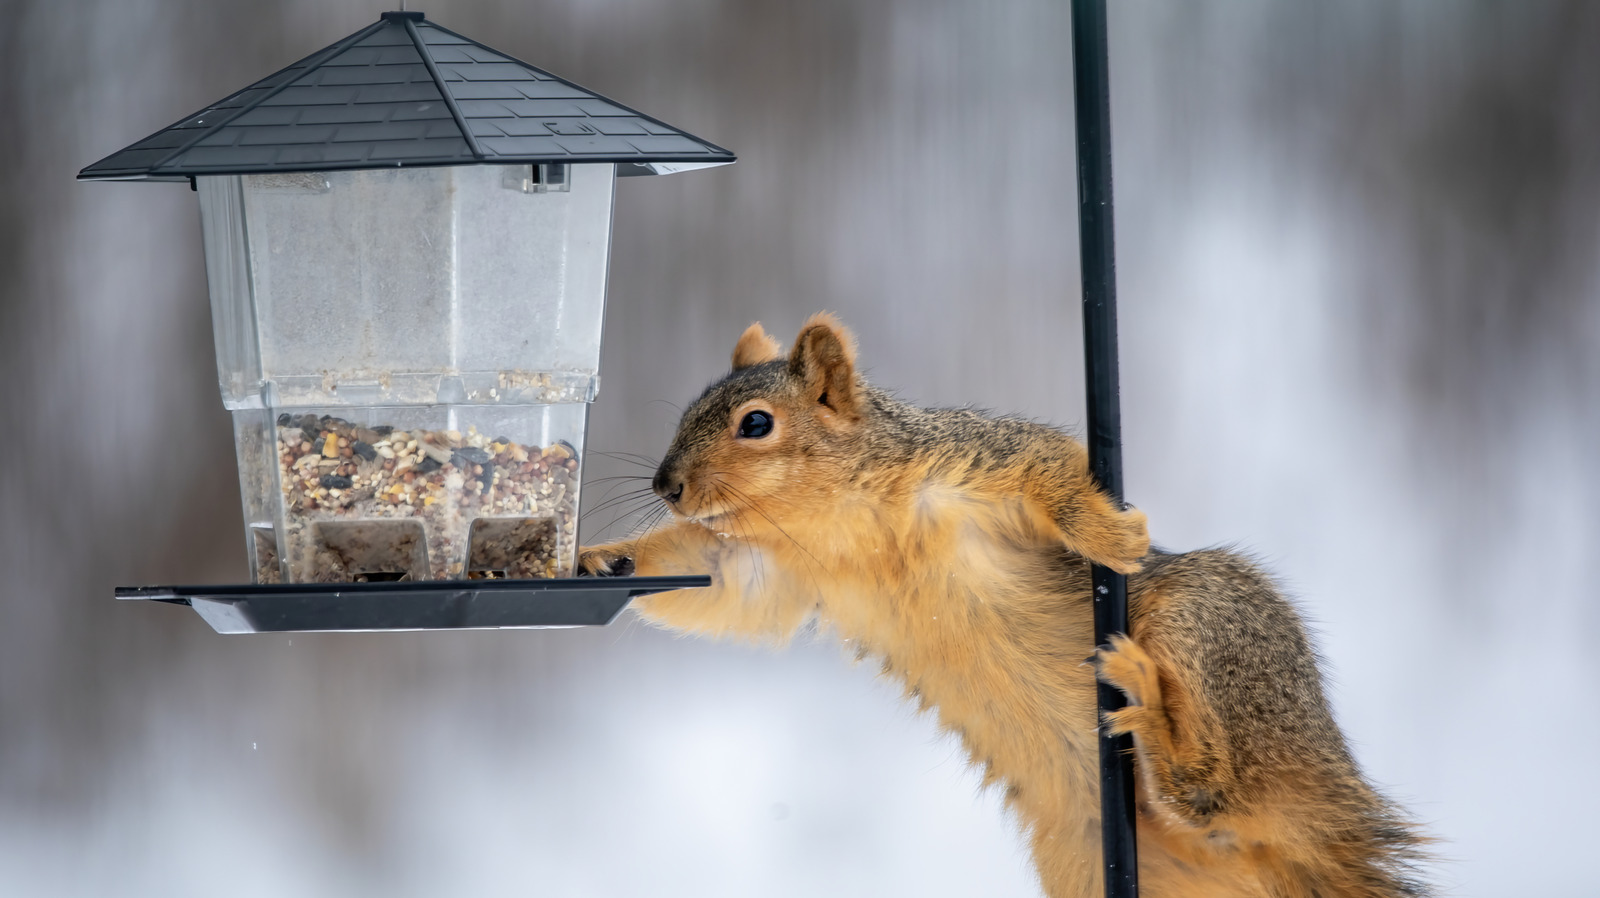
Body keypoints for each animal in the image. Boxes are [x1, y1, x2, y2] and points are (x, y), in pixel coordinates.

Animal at [578, 313, 1429, 898]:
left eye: (756, 423)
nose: (666, 487)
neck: (839, 522)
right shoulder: (776, 570)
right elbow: (721, 589)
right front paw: (602, 558)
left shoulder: (978, 459)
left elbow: (1052, 469)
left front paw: (1104, 530)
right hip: (1093, 862)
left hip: (1207, 618)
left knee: (1209, 790)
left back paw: (1149, 709)